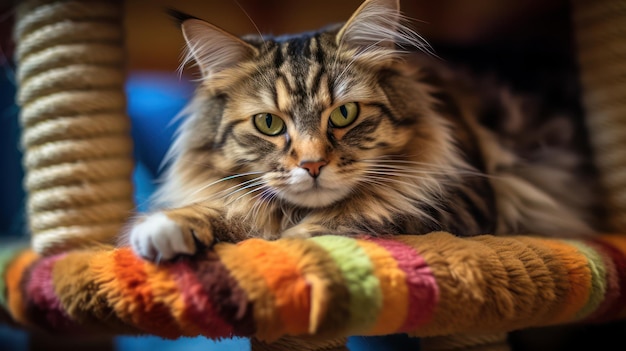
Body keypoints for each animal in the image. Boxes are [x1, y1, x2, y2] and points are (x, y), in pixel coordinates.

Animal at [125, 0, 596, 262]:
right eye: (269, 123)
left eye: (344, 114)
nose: (313, 164)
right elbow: (234, 208)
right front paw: (164, 227)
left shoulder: (460, 198)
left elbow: (355, 215)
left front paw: (284, 244)